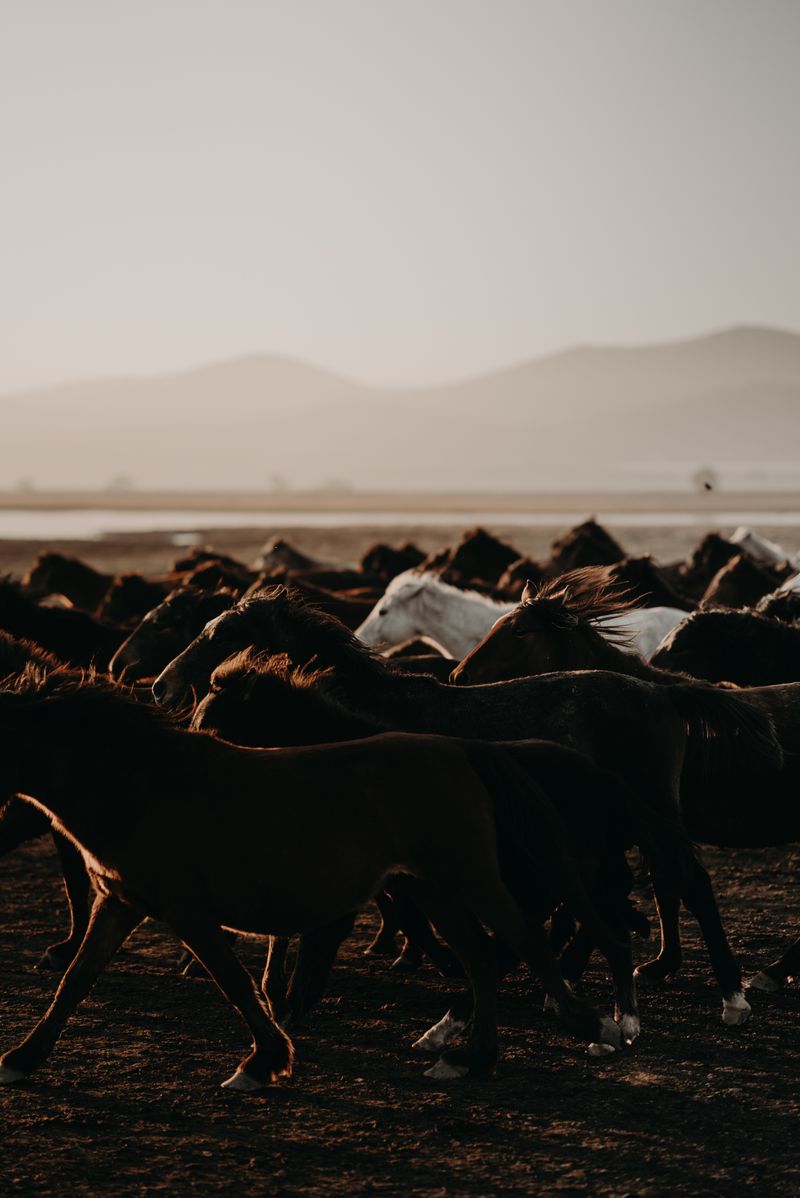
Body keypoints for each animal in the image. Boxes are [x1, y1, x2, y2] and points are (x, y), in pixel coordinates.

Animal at [0, 670, 627, 1092]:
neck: (139, 786)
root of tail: (463, 750)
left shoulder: (188, 913)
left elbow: (236, 985)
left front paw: (262, 1063)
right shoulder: (119, 903)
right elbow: (75, 981)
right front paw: (23, 1060)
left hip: (468, 879)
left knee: (521, 941)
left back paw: (587, 1024)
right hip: (436, 890)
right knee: (479, 959)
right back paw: (471, 1057)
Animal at [149, 584, 780, 1025]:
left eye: (219, 636)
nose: (161, 685)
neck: (363, 712)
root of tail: (662, 691)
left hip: (653, 815)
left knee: (688, 882)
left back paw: (731, 997)